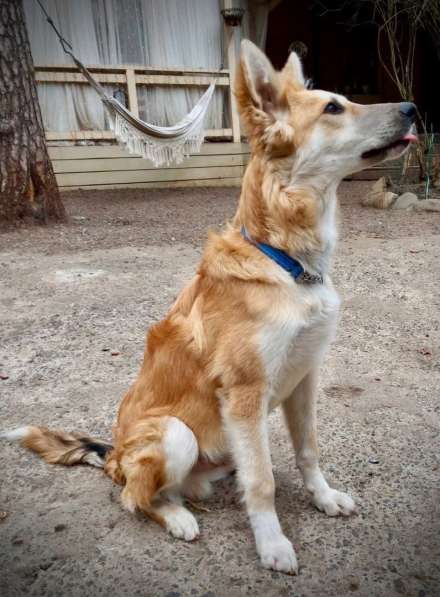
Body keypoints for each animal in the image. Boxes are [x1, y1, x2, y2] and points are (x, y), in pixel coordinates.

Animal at [2, 40, 416, 572]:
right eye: (332, 108)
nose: (412, 108)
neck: (287, 262)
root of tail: (113, 455)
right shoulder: (245, 392)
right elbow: (263, 481)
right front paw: (272, 543)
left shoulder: (305, 377)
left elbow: (307, 450)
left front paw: (322, 497)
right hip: (175, 434)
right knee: (136, 497)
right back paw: (177, 517)